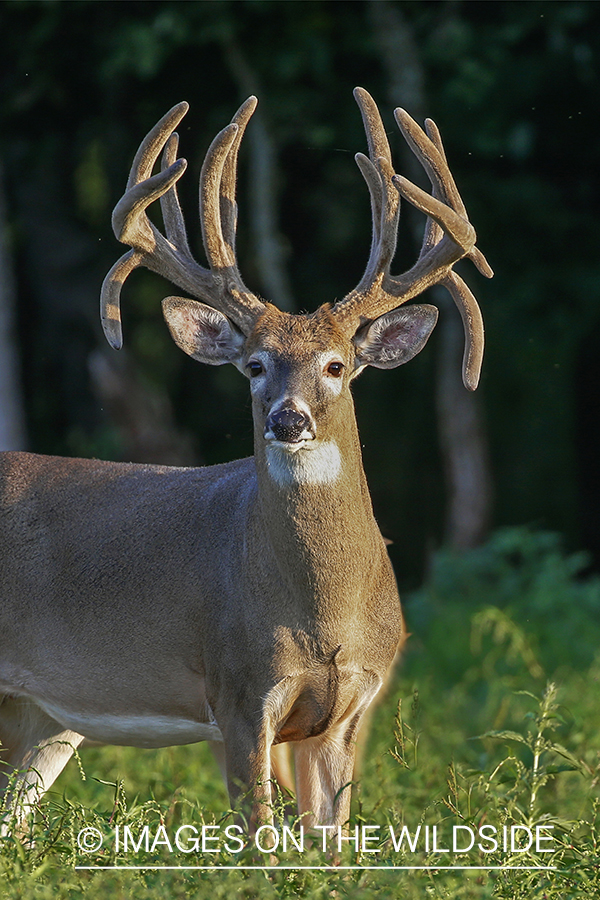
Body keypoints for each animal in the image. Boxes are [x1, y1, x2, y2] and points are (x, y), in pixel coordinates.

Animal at [0, 89, 492, 836]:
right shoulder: (239, 693)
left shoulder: (347, 709)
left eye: (336, 365)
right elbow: (259, 840)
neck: (323, 617)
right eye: (255, 365)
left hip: (44, 719)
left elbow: (332, 846)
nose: (288, 419)